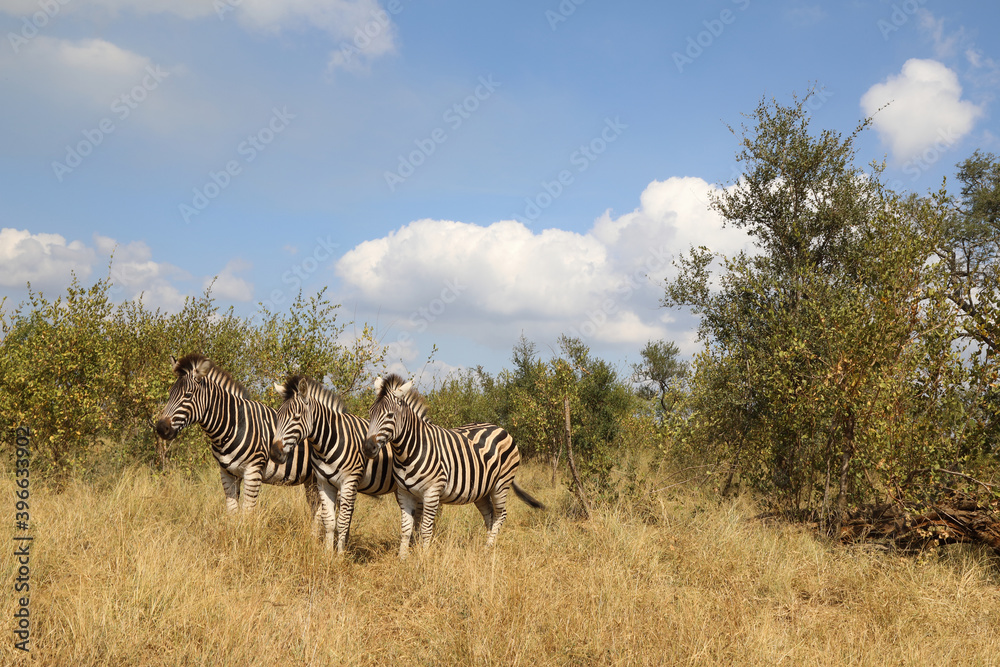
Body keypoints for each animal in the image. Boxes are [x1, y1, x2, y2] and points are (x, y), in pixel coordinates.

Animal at [154, 353, 320, 521]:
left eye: (187, 395)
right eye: (169, 394)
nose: (161, 428)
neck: (232, 426)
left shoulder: (253, 471)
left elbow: (247, 513)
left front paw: (246, 529)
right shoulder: (227, 473)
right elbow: (232, 511)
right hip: (311, 479)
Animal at [270, 375, 400, 553]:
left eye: (296, 417)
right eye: (278, 416)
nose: (274, 453)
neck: (328, 441)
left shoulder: (348, 482)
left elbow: (343, 521)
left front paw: (340, 555)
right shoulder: (323, 482)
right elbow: (329, 521)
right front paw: (327, 553)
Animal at [363, 374, 544, 558]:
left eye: (390, 415)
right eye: (370, 413)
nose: (368, 448)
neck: (408, 452)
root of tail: (500, 428)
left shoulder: (432, 492)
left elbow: (426, 529)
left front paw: (424, 558)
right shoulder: (404, 493)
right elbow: (406, 529)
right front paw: (402, 558)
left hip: (501, 484)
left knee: (501, 514)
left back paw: (489, 547)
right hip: (482, 490)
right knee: (490, 515)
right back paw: (486, 547)